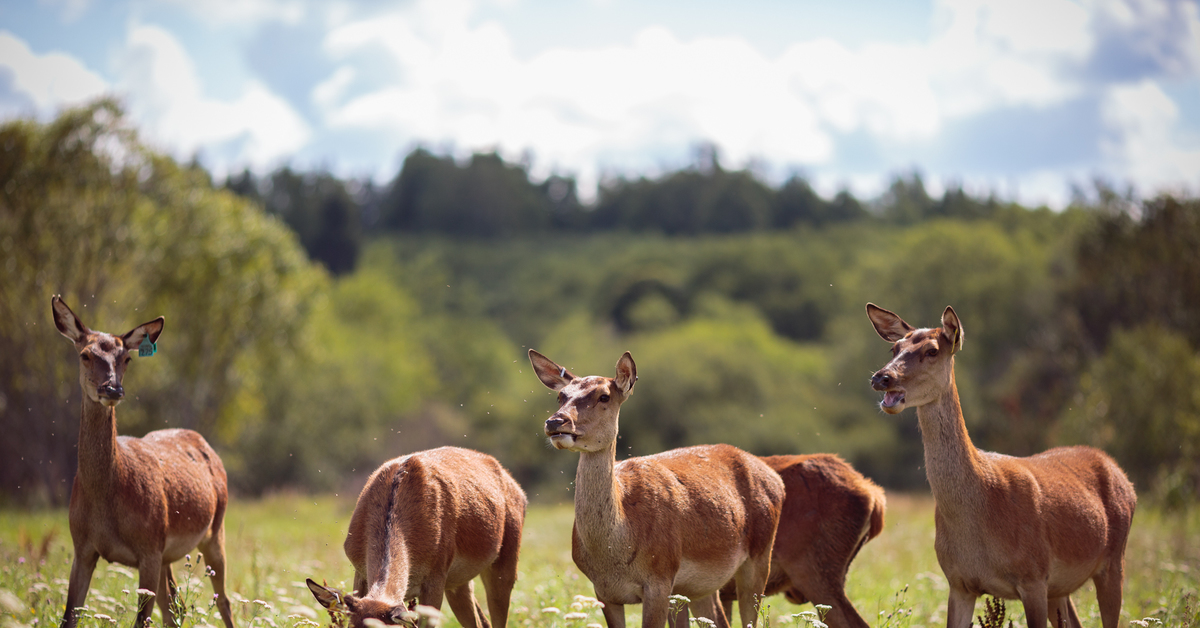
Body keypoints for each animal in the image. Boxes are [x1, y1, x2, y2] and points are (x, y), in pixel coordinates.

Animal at [51, 296, 234, 628]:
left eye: (127, 358)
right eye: (85, 354)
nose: (112, 389)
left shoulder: (149, 547)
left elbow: (141, 620)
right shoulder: (81, 547)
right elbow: (69, 615)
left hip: (215, 530)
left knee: (222, 601)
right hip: (168, 555)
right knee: (175, 605)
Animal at [307, 444, 523, 628]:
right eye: (350, 626)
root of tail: (517, 487)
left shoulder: (435, 577)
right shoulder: (359, 571)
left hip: (505, 563)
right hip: (459, 583)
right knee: (480, 621)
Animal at [528, 348, 787, 628]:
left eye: (604, 395)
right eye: (561, 396)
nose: (555, 422)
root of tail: (776, 478)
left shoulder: (659, 580)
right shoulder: (604, 592)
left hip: (759, 557)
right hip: (699, 588)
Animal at [864, 304, 1132, 628]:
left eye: (931, 350)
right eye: (895, 348)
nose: (882, 378)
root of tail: (1120, 472)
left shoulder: (1033, 576)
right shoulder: (958, 582)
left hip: (1113, 560)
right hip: (1061, 587)